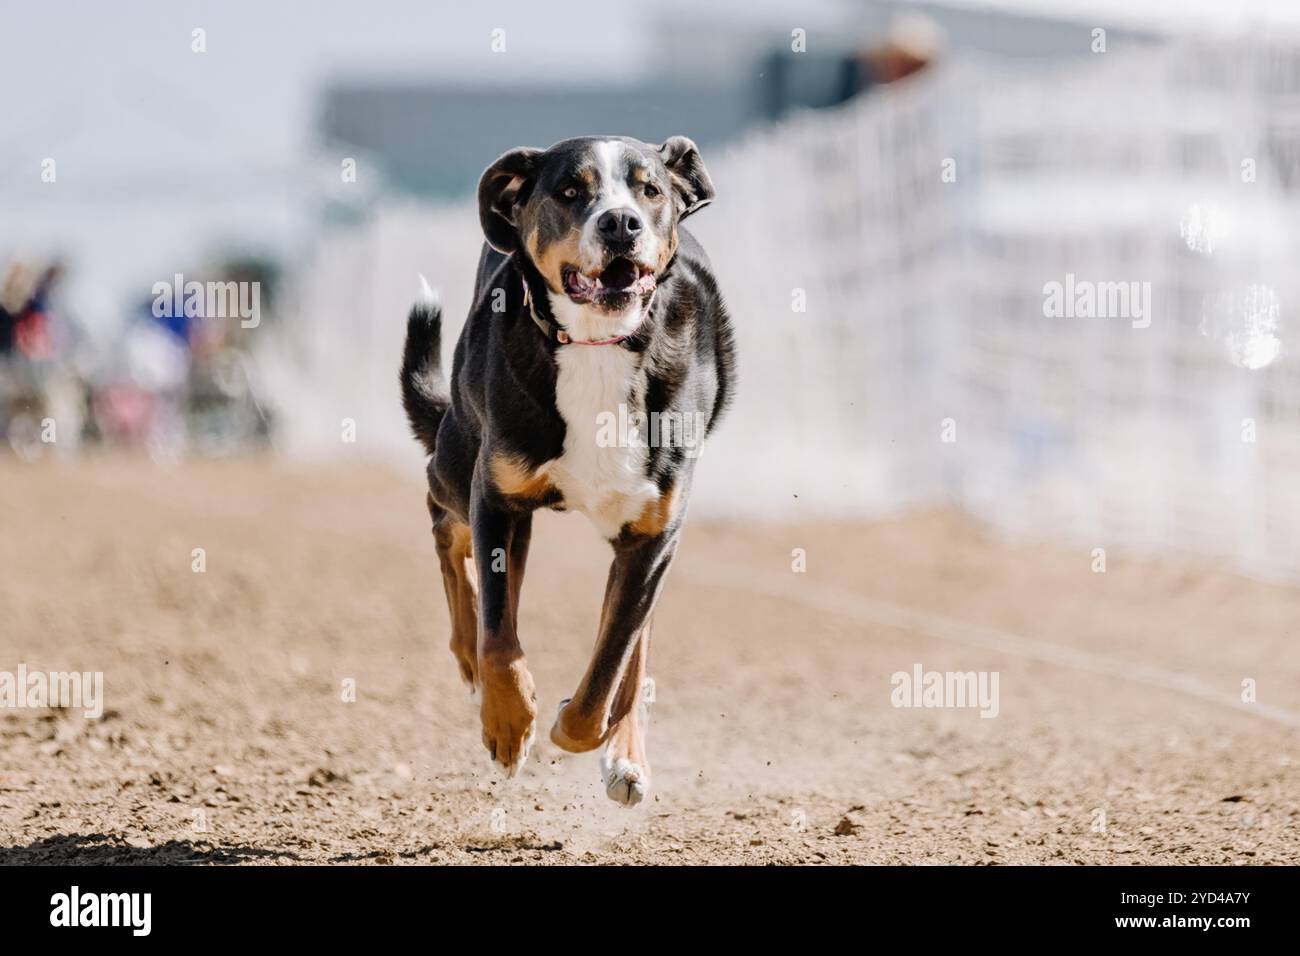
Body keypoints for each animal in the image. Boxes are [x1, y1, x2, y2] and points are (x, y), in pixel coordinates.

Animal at [397, 136, 733, 806]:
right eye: (570, 191)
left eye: (650, 190)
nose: (621, 223)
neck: (597, 346)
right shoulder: (497, 497)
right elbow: (500, 638)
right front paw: (508, 723)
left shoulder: (652, 538)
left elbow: (610, 667)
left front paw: (580, 730)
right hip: (461, 461)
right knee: (444, 525)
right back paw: (467, 656)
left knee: (631, 651)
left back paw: (626, 756)